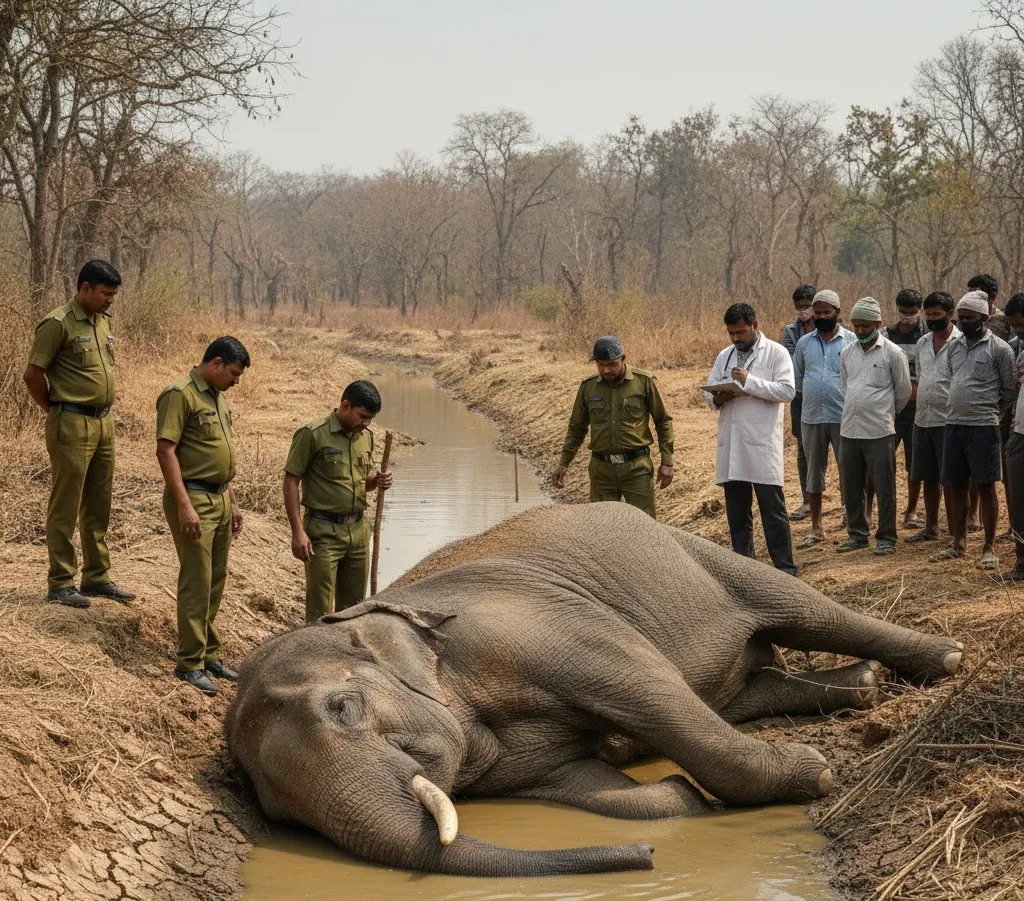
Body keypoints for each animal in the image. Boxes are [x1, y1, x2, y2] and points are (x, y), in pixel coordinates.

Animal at [226, 503, 962, 877]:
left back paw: (946, 659)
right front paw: (677, 798)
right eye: (276, 811)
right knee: (743, 686)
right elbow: (584, 781)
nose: (648, 862)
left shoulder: (536, 624)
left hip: (694, 552)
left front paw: (815, 774)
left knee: (798, 607)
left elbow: (641, 683)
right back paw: (862, 689)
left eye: (344, 708)